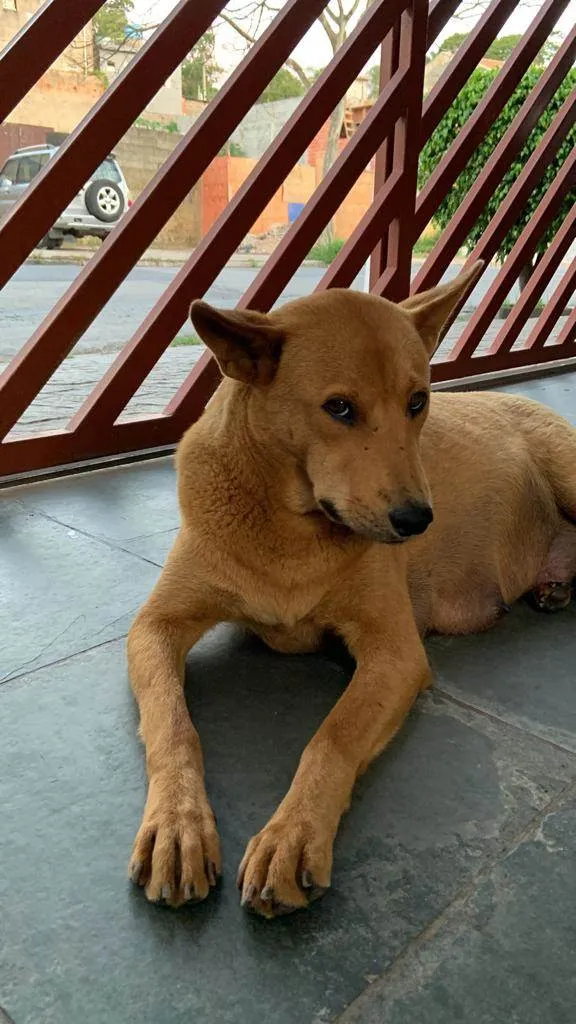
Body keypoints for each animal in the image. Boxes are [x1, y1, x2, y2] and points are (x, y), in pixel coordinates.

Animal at [125, 260, 573, 917]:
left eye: (418, 402)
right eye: (337, 408)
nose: (417, 520)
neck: (289, 530)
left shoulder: (395, 653)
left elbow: (330, 739)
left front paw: (292, 836)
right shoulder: (154, 627)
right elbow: (172, 724)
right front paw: (178, 825)